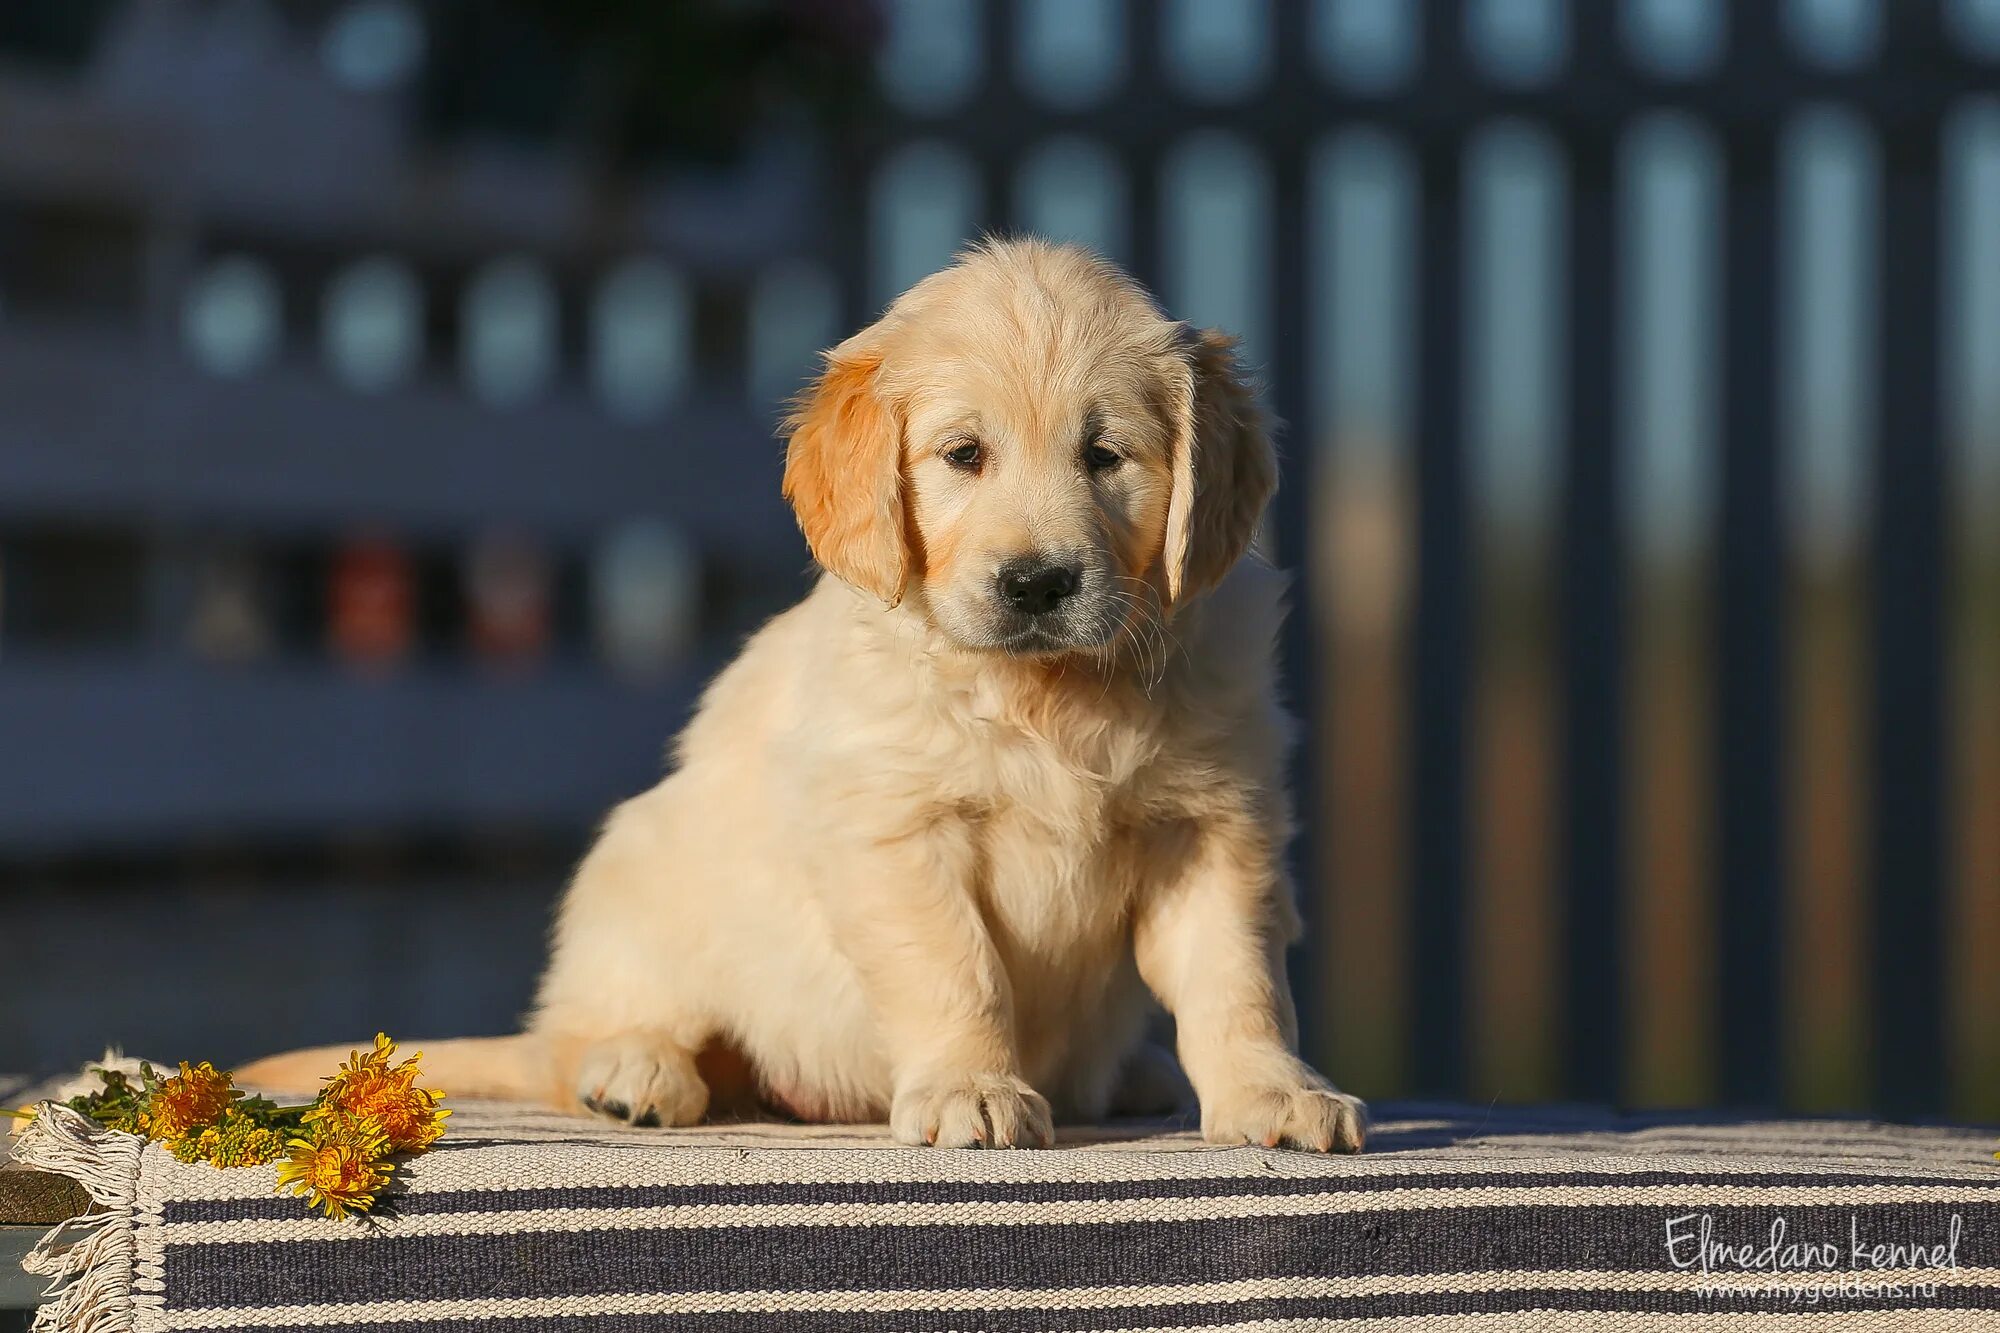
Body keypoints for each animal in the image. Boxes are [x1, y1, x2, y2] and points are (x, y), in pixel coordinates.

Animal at [242, 233, 1368, 1144]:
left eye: (1107, 456)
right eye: (963, 454)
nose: (1038, 582)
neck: (1047, 692)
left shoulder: (1215, 828)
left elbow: (1236, 978)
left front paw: (1273, 1093)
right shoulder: (895, 828)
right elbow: (956, 967)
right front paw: (970, 1088)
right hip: (637, 876)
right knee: (573, 1037)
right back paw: (635, 1067)